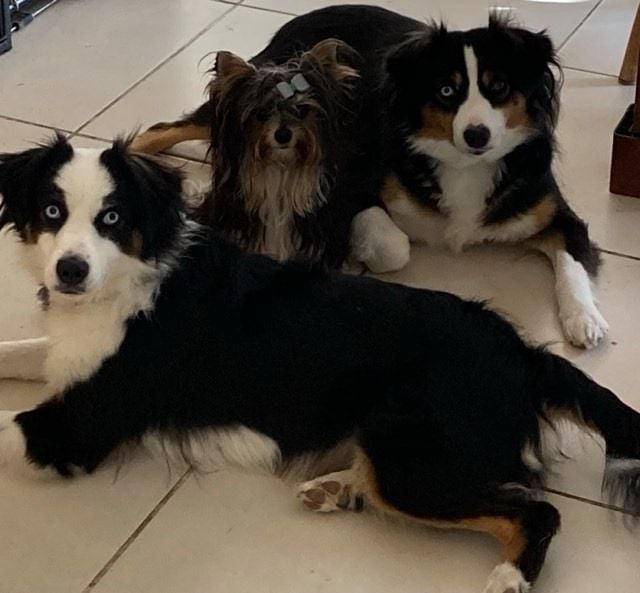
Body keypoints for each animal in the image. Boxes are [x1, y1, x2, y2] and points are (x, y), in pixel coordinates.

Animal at [1, 135, 639, 593]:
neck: (128, 281)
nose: (70, 272)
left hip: (412, 458)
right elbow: (16, 352)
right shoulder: (69, 357)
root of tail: (524, 352)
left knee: (537, 512)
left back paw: (507, 578)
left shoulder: (79, 424)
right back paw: (336, 488)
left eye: (111, 218)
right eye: (51, 211)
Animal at [135, 5, 607, 349]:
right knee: (165, 128)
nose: (477, 135)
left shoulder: (557, 215)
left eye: (499, 87)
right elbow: (394, 247)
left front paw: (584, 320)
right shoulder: (355, 187)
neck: (466, 165)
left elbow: (572, 264)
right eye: (447, 91)